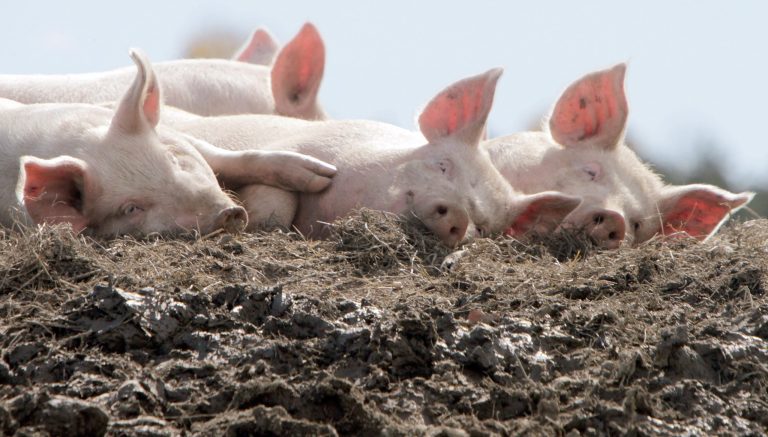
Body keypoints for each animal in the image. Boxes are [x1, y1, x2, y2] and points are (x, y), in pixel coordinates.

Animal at [0, 49, 336, 237]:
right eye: (131, 209)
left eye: (172, 159)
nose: (227, 213)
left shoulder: (180, 135)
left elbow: (233, 158)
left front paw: (322, 176)